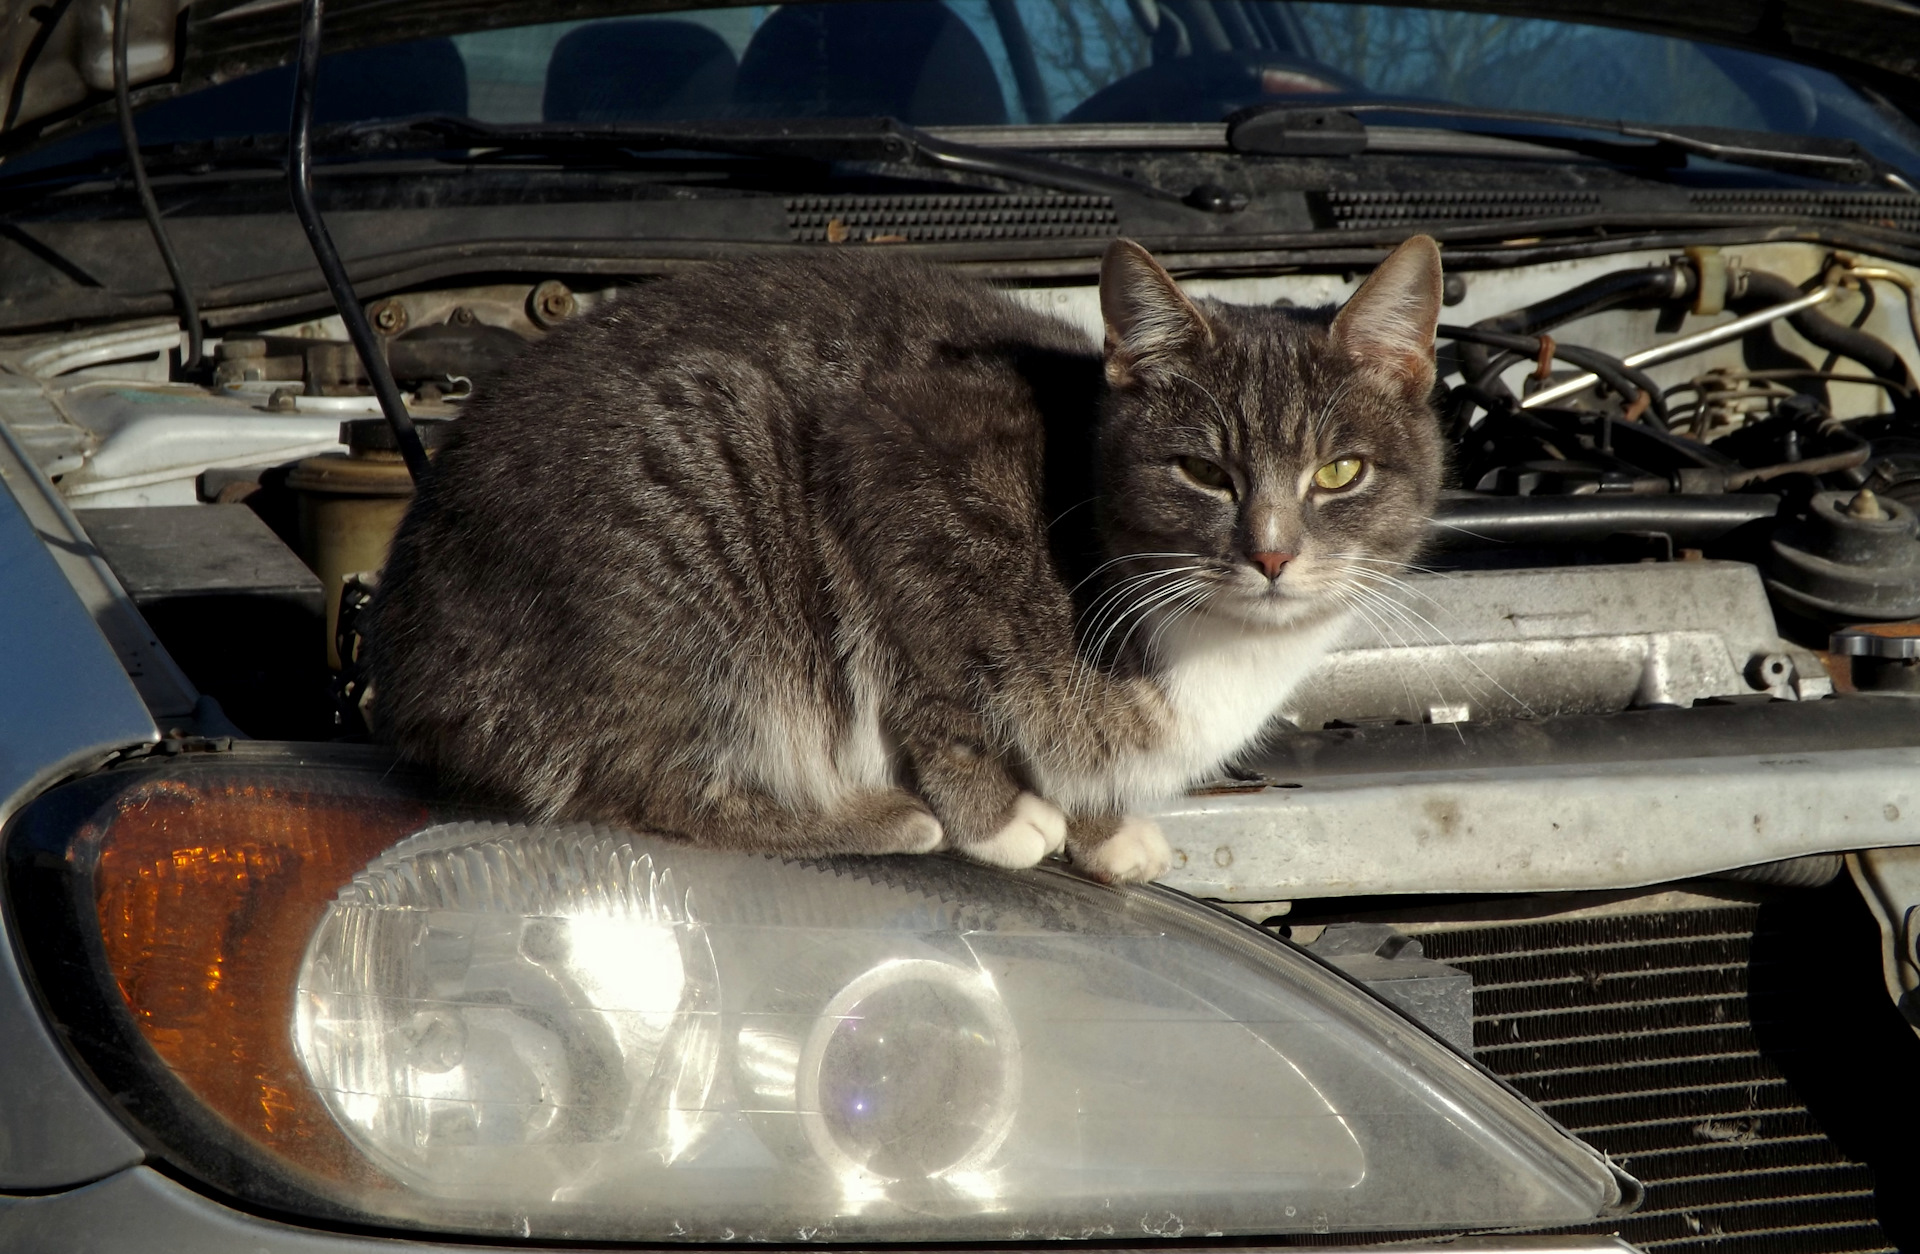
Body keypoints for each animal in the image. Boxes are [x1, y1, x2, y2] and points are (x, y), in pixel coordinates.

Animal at [370, 234, 1443, 879]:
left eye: (1339, 471)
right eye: (1204, 473)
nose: (1271, 555)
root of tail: (409, 651)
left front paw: (1101, 828)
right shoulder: (892, 473)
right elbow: (939, 693)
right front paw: (1002, 817)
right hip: (703, 531)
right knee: (636, 788)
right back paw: (877, 816)